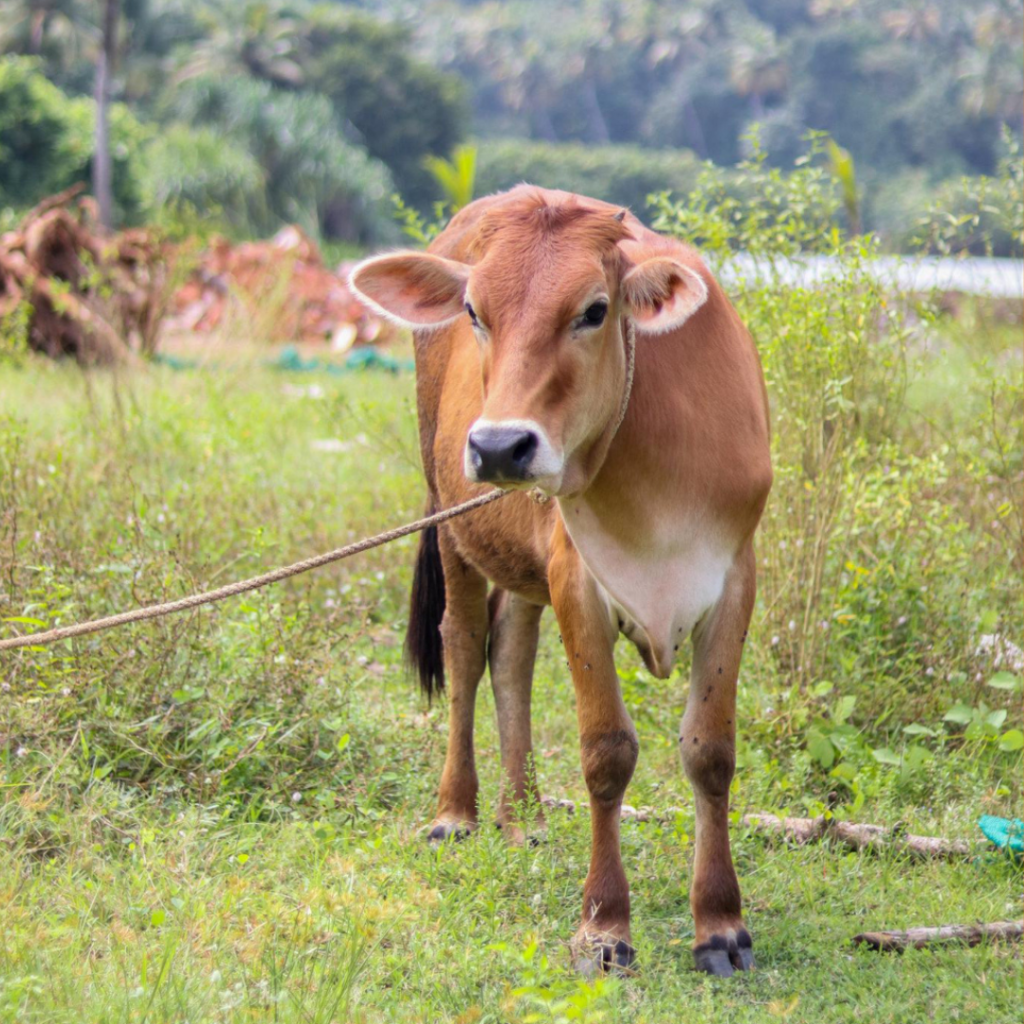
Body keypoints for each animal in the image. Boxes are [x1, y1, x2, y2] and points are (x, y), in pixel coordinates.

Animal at [349, 186, 772, 977]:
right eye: (475, 312)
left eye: (594, 310)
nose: (498, 445)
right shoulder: (578, 578)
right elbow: (606, 751)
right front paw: (604, 926)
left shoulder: (735, 576)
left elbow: (710, 752)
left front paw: (720, 924)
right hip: (452, 518)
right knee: (464, 647)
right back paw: (457, 812)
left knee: (511, 652)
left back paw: (524, 816)